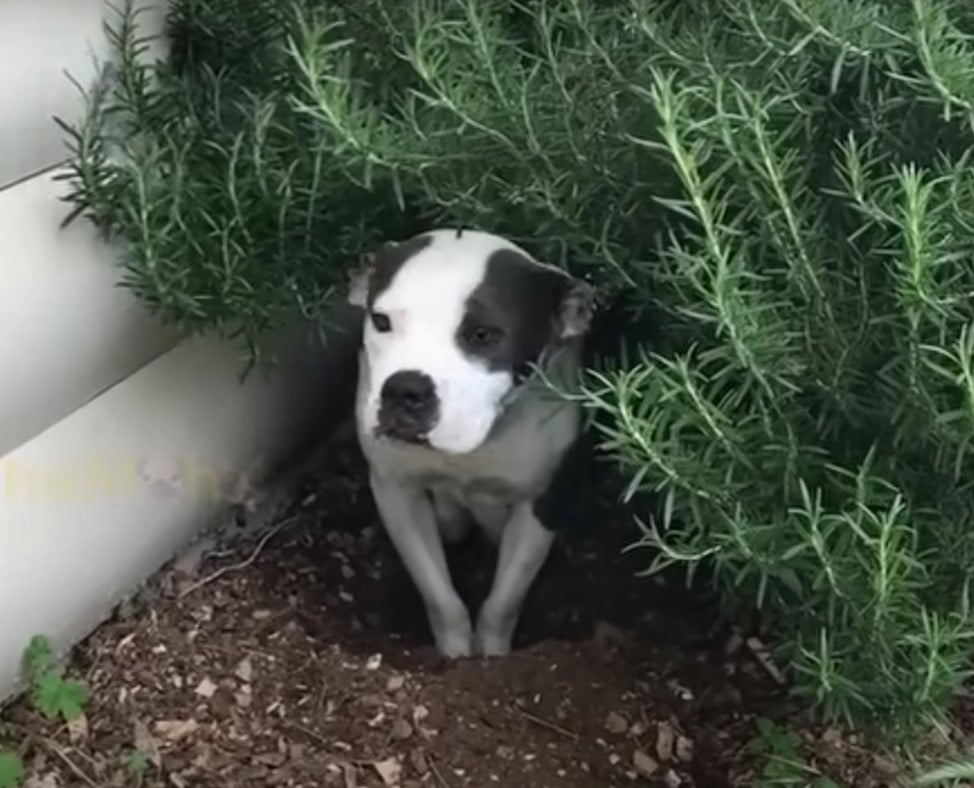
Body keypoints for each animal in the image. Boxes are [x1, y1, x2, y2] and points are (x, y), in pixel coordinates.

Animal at [350, 226, 596, 660]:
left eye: (483, 335)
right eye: (381, 321)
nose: (404, 389)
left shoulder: (540, 503)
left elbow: (505, 598)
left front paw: (493, 653)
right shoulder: (397, 490)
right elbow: (437, 589)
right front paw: (456, 650)